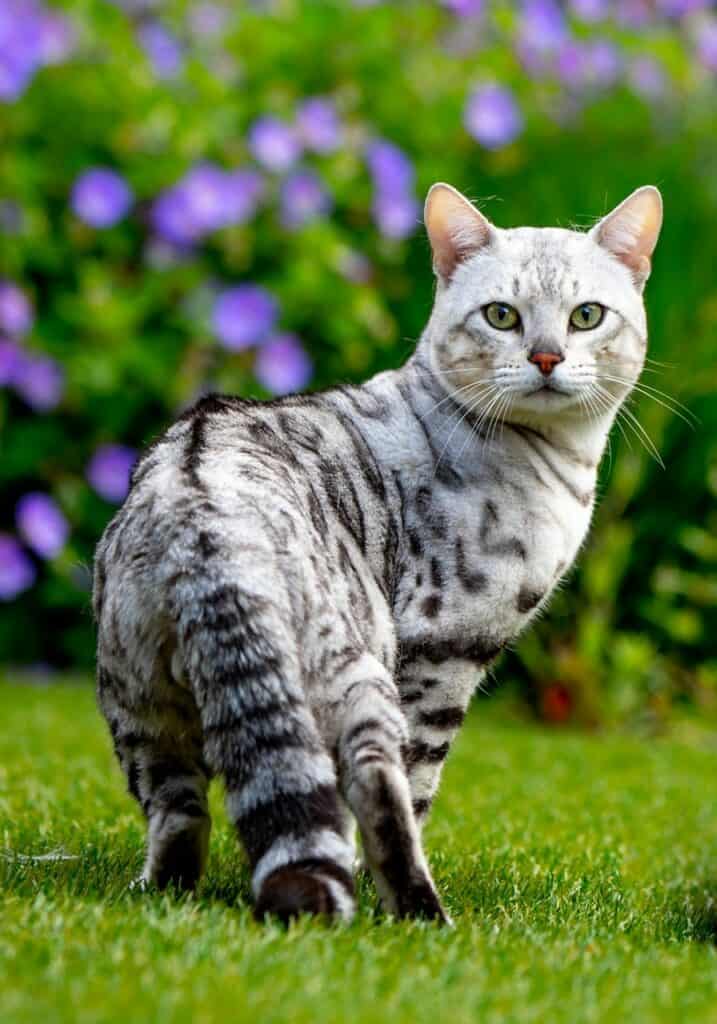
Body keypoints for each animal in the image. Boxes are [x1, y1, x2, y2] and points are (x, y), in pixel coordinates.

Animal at [92, 184, 663, 929]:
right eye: (502, 316)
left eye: (586, 316)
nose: (545, 358)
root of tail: (205, 513)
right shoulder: (441, 649)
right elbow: (416, 788)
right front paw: (378, 883)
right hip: (358, 668)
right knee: (375, 784)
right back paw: (420, 912)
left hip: (139, 706)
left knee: (178, 810)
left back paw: (165, 891)